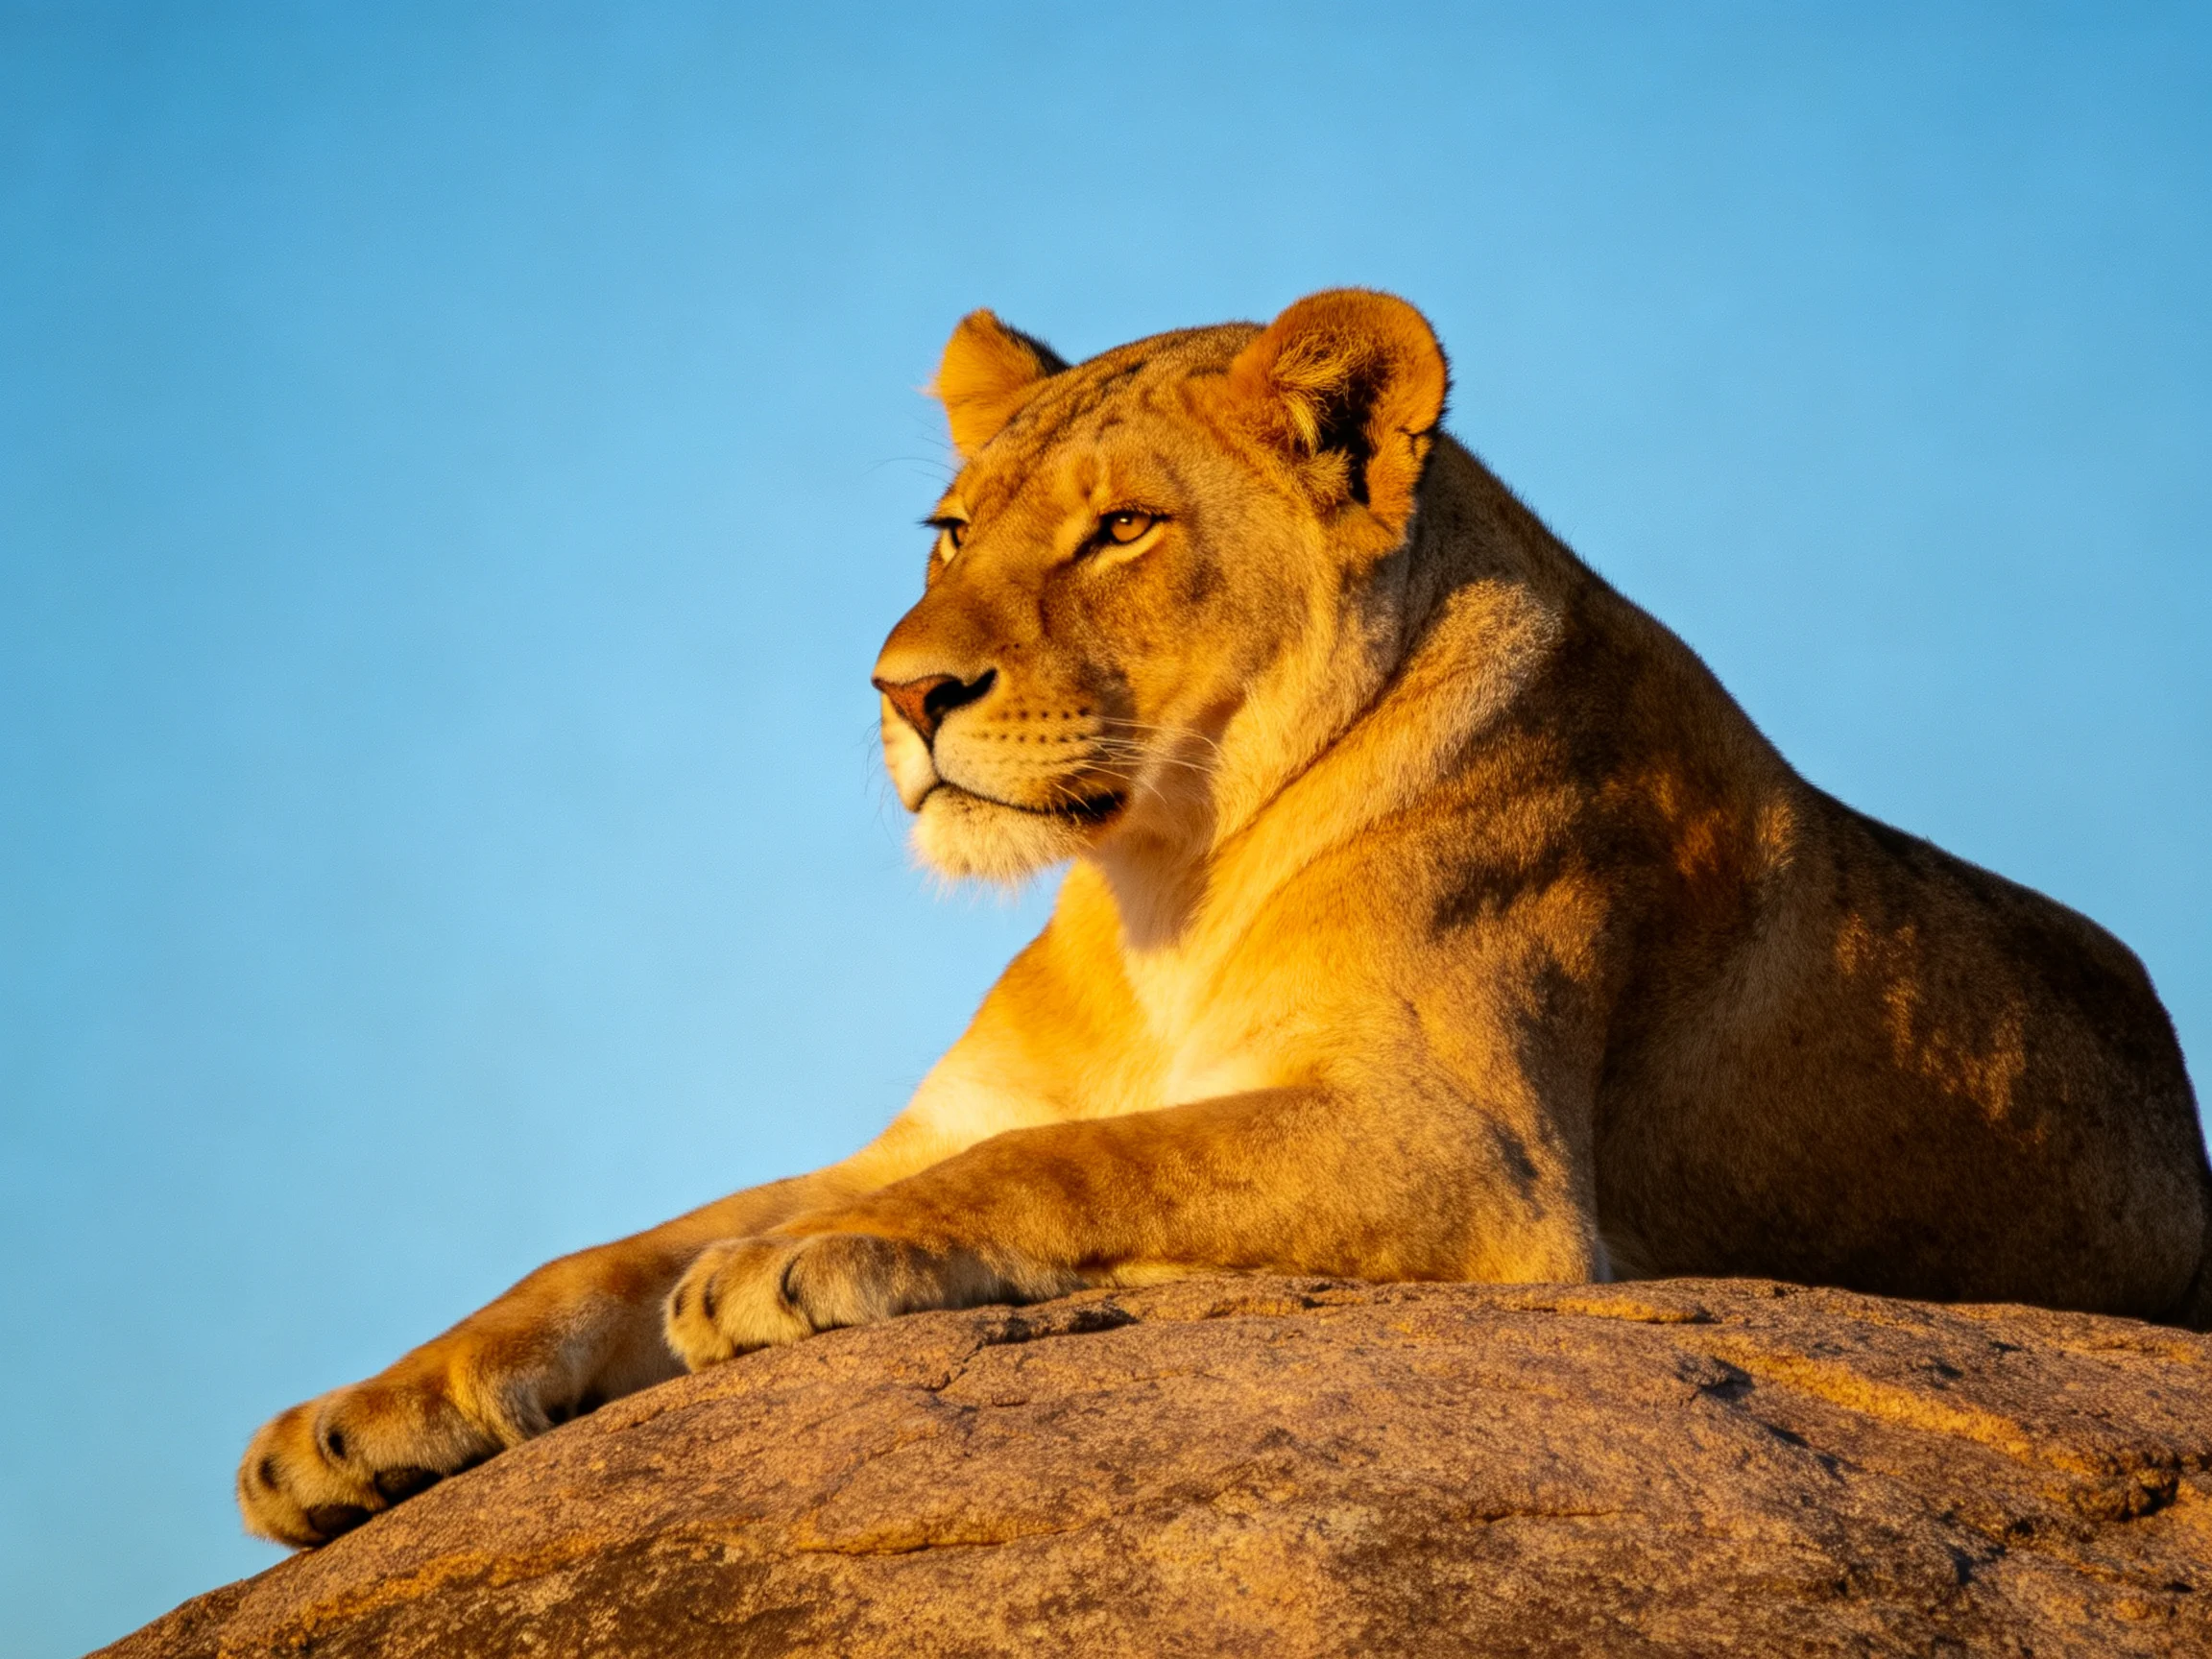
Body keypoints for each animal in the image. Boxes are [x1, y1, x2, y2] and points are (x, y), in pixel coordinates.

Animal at [239, 289, 2211, 1547]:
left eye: (1121, 530)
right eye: (947, 527)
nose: (903, 691)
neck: (1156, 880)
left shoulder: (1473, 1156)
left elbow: (1085, 1165)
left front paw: (804, 1267)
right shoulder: (940, 1119)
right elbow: (612, 1253)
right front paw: (350, 1426)